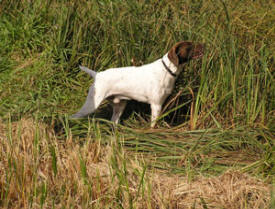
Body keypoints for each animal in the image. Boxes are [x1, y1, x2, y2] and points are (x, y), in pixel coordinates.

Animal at [71, 40, 205, 126]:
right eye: (190, 46)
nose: (204, 45)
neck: (167, 70)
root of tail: (97, 75)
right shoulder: (156, 105)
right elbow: (153, 125)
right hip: (91, 105)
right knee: (73, 117)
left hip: (120, 106)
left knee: (114, 121)